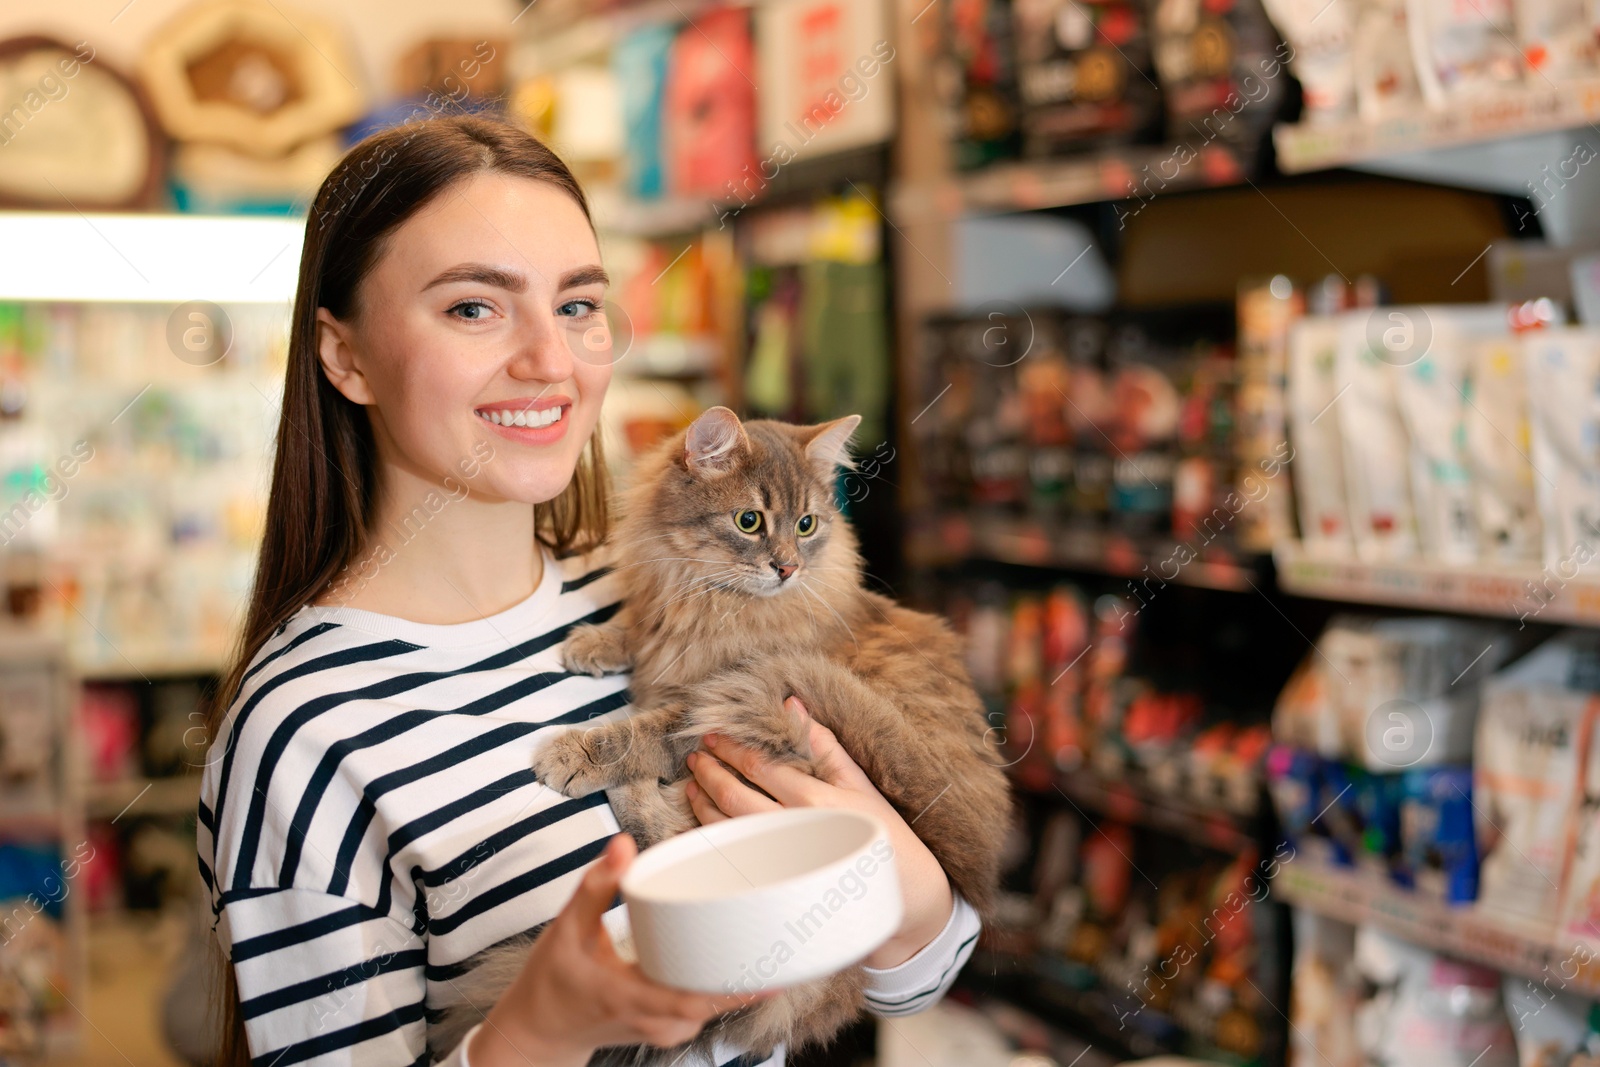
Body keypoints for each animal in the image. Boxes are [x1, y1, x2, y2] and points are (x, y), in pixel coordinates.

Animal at [432, 409, 1004, 1067]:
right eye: (749, 521)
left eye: (806, 525)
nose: (788, 568)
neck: (717, 603)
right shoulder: (669, 621)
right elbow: (637, 628)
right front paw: (594, 642)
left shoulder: (708, 703)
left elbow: (640, 732)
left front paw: (575, 752)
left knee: (660, 831)